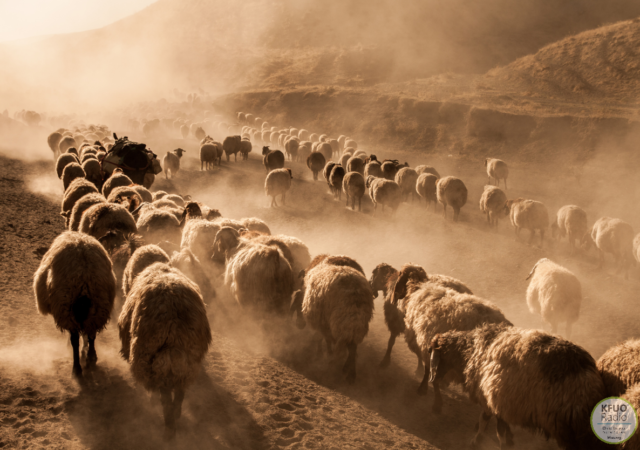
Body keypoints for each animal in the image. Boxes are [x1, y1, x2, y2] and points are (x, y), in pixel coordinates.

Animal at [33, 231, 116, 378]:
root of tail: (84, 277)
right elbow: (87, 336)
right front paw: (87, 352)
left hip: (66, 306)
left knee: (75, 339)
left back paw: (76, 368)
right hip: (98, 307)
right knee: (92, 334)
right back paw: (91, 358)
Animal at [118, 262, 211, 439]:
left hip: (149, 355)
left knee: (166, 396)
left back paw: (169, 429)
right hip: (186, 359)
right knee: (180, 391)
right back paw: (176, 414)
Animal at [429, 324, 607, 449]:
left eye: (435, 356)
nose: (433, 380)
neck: (469, 352)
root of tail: (585, 376)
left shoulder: (495, 398)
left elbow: (493, 426)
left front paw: (485, 441)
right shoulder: (496, 400)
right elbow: (489, 421)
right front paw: (485, 440)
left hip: (566, 425)